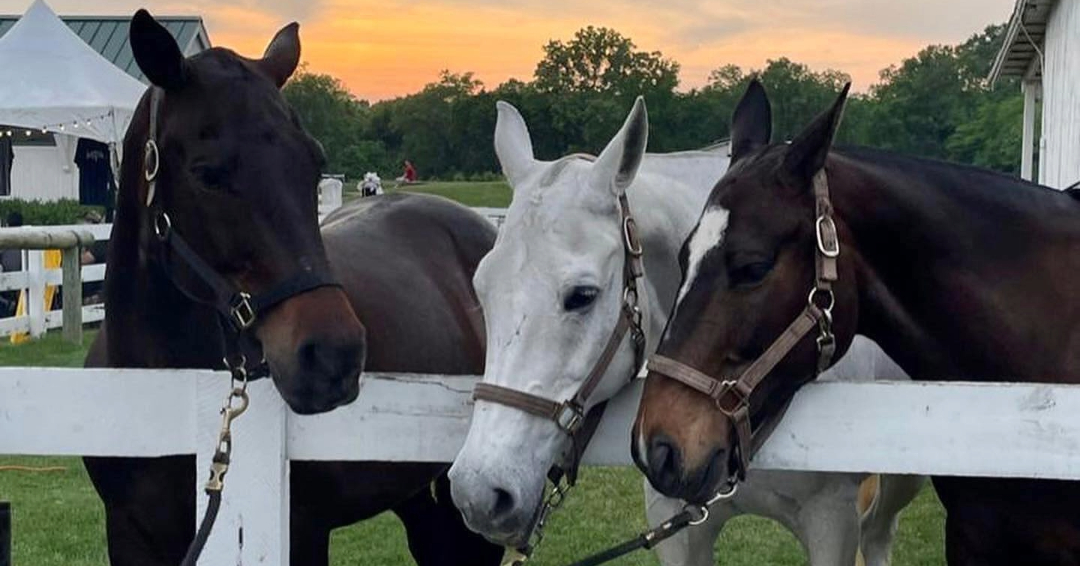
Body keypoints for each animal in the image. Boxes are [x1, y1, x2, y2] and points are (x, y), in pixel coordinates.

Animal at [448, 98, 922, 566]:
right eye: (481, 290)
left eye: (582, 296)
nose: (479, 493)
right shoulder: (675, 520)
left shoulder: (830, 520)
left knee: (878, 534)